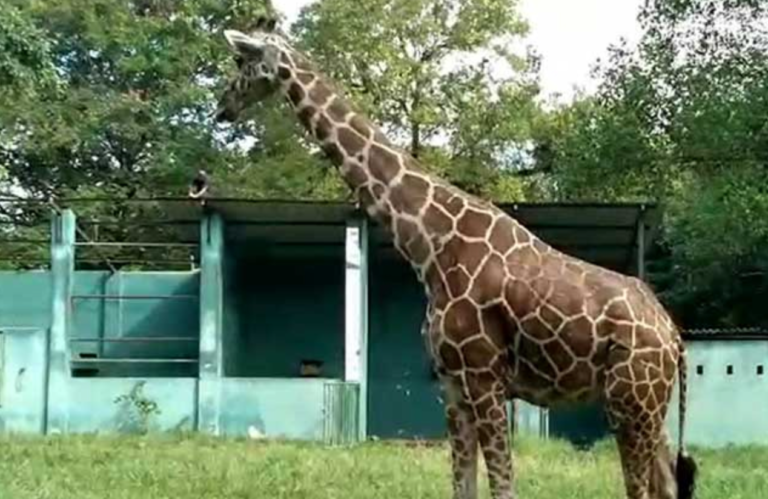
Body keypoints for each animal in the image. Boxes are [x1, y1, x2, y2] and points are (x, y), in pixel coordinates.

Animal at [214, 16, 698, 499]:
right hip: (647, 405)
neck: (430, 245)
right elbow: (463, 485)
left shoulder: (484, 377)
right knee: (668, 482)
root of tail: (674, 336)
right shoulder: (452, 384)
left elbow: (503, 486)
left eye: (241, 60)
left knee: (644, 487)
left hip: (631, 400)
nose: (222, 107)